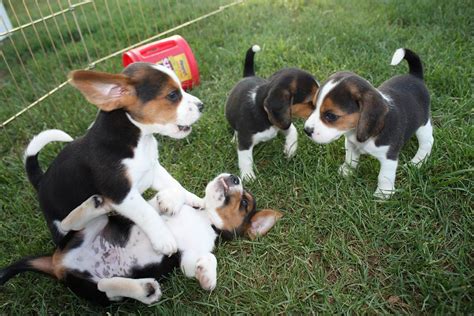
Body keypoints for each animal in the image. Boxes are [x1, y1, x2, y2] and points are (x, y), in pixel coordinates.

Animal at [0, 174, 282, 304]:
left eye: (244, 204)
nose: (234, 177)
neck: (205, 220)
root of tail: (57, 263)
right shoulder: (149, 211)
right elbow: (178, 195)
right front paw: (170, 200)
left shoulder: (188, 258)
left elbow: (207, 259)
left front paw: (207, 277)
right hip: (96, 228)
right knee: (72, 223)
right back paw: (95, 205)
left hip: (94, 292)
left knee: (106, 287)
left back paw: (146, 289)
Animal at [225, 45, 318, 181]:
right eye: (310, 101)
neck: (262, 110)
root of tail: (248, 76)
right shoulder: (245, 140)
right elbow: (245, 159)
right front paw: (248, 177)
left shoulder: (282, 122)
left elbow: (293, 131)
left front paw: (290, 150)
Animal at [304, 47, 434, 198]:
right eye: (313, 106)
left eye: (331, 116)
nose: (306, 130)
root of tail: (415, 76)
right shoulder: (351, 143)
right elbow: (350, 159)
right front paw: (347, 171)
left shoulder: (389, 157)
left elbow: (384, 176)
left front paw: (383, 194)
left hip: (423, 124)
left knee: (427, 142)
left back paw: (417, 162)